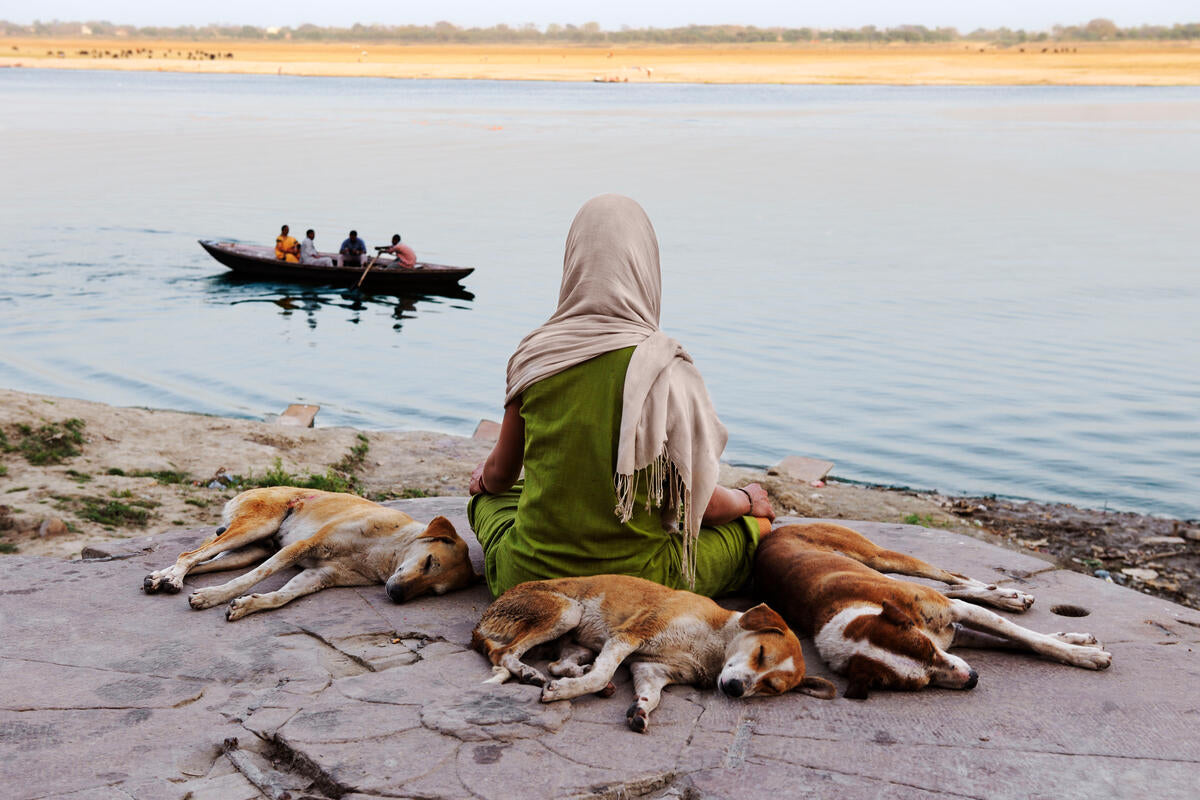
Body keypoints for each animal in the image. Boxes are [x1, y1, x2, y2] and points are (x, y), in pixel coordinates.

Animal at [141, 484, 477, 623]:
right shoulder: (301, 547)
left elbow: (282, 596)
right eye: (429, 561)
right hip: (256, 527)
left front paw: (249, 605)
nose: (395, 595)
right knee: (189, 555)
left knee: (199, 561)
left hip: (252, 549)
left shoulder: (320, 576)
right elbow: (251, 579)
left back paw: (160, 578)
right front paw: (214, 597)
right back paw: (173, 578)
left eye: (433, 592)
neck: (386, 552)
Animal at [470, 573, 835, 734]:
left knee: (559, 663)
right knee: (505, 654)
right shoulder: (631, 635)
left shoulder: (651, 668)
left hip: (578, 639)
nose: (734, 689)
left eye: (771, 687)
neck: (714, 644)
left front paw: (640, 710)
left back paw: (580, 676)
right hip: (567, 611)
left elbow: (651, 696)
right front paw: (563, 693)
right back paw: (528, 672)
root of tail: (483, 619)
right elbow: (603, 671)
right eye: (760, 653)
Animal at [753, 522, 1108, 695]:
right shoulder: (957, 635)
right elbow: (1020, 643)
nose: (972, 679)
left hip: (881, 557)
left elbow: (1031, 639)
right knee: (953, 586)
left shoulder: (959, 616)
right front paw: (1075, 642)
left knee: (952, 577)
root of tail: (775, 531)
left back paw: (1007, 594)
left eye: (927, 650)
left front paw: (1082, 654)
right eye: (919, 683)